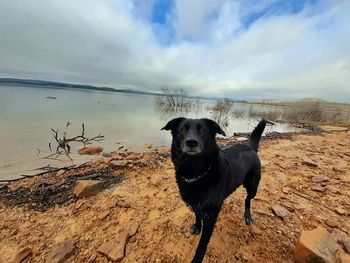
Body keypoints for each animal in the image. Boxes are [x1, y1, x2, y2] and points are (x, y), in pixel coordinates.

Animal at [163, 118, 266, 262]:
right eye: (182, 129)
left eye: (203, 130)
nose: (191, 142)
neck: (197, 173)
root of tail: (250, 147)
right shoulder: (196, 204)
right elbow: (197, 215)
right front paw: (197, 227)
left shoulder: (210, 216)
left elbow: (202, 244)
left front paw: (197, 259)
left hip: (253, 186)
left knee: (247, 199)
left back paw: (247, 216)